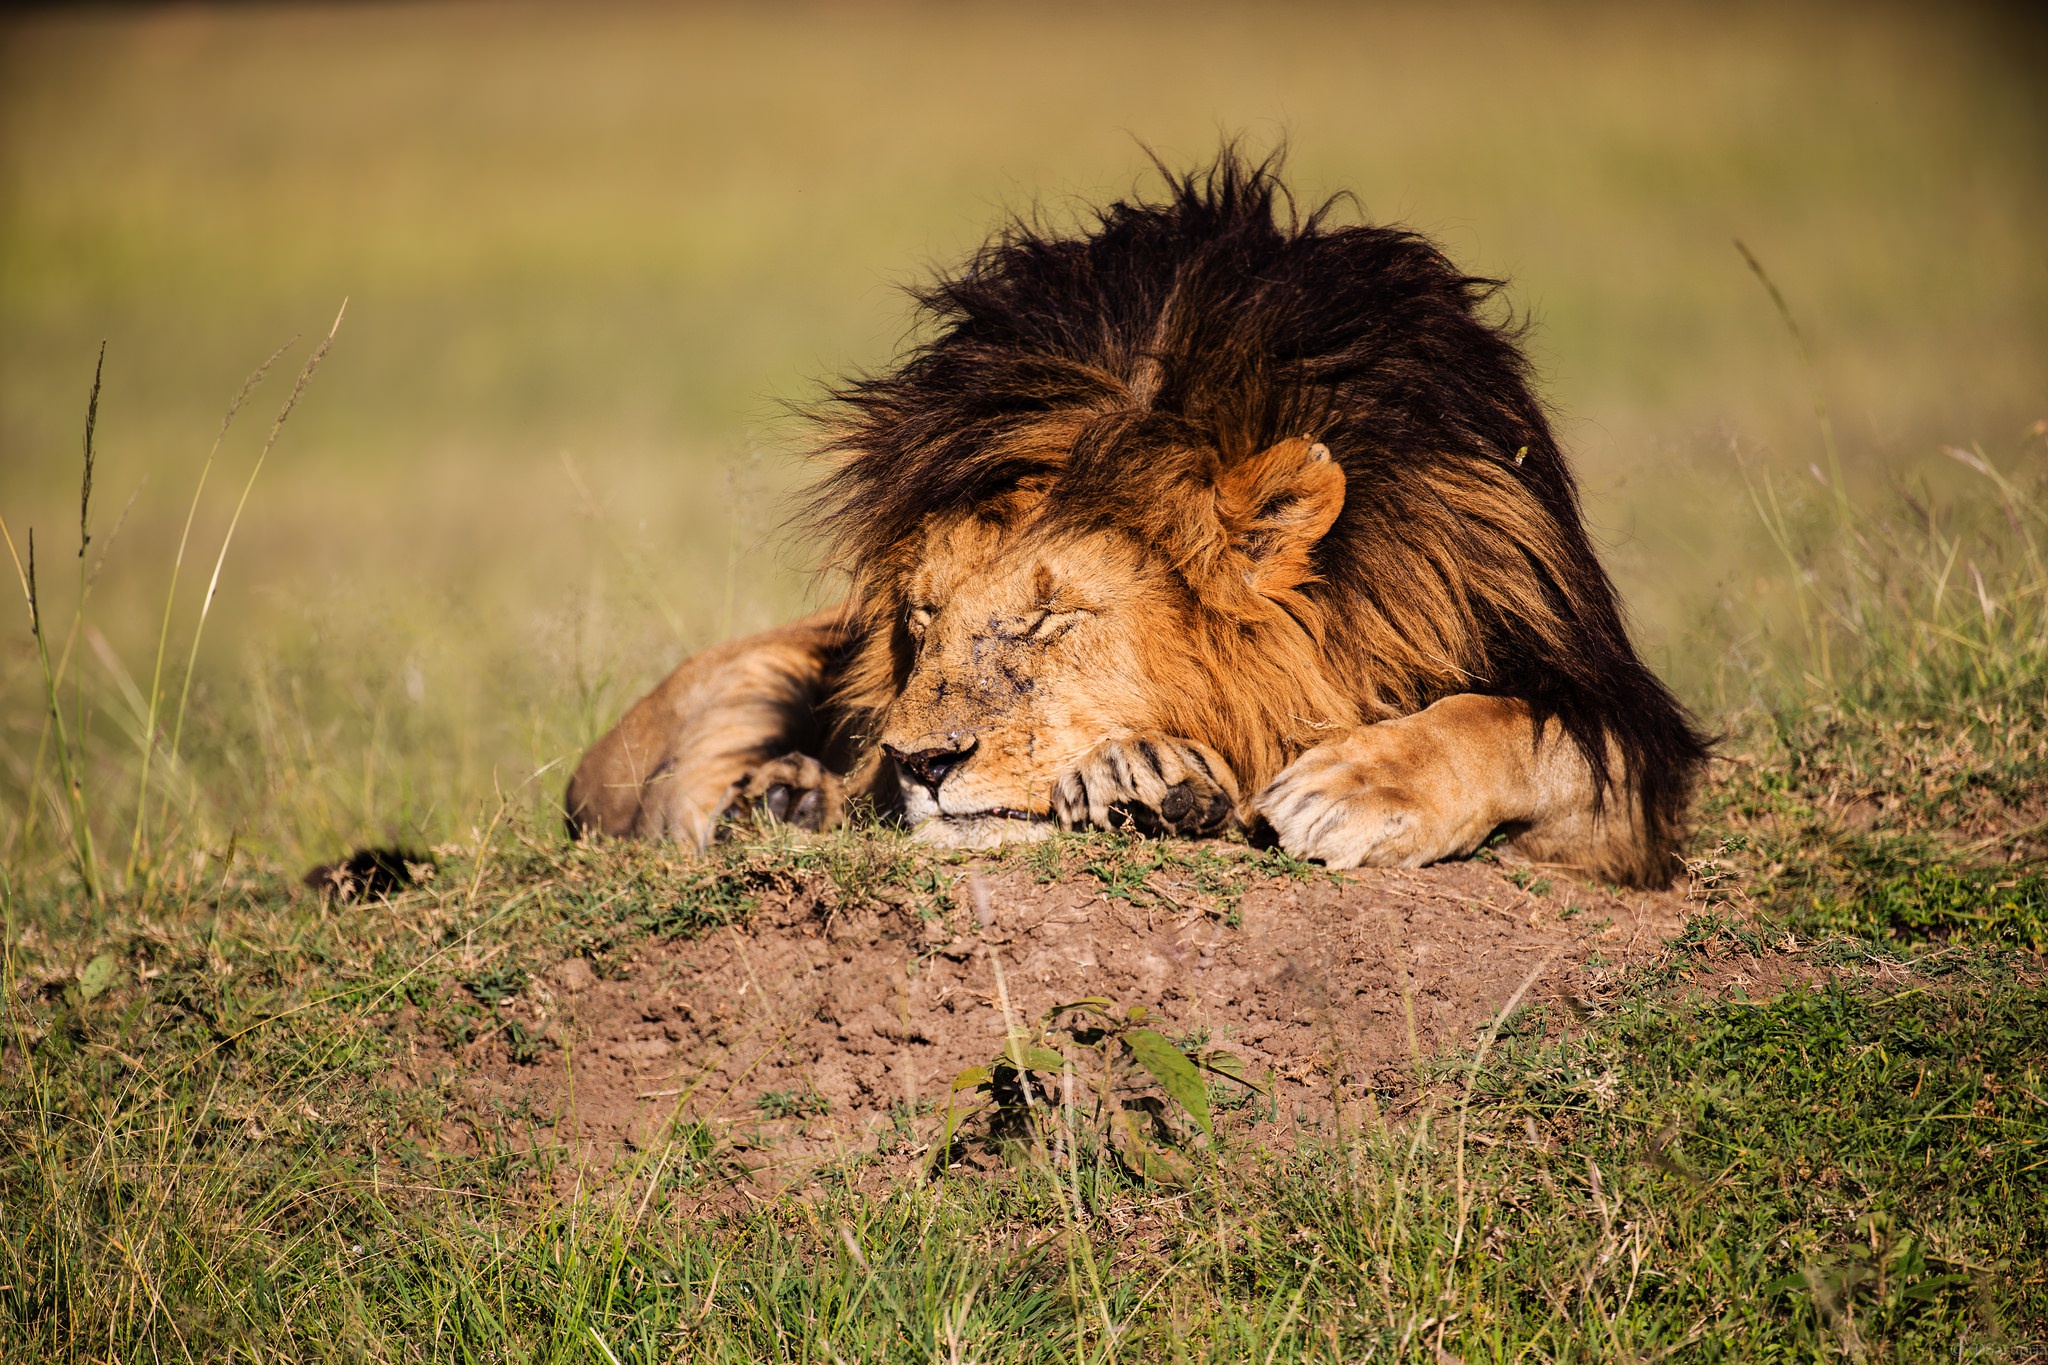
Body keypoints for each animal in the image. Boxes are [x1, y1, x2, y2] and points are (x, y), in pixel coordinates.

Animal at [569, 157, 1703, 888]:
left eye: (1047, 617)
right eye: (921, 619)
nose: (921, 763)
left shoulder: (1624, 760)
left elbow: (1514, 724)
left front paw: (1348, 789)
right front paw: (1142, 778)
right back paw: (779, 798)